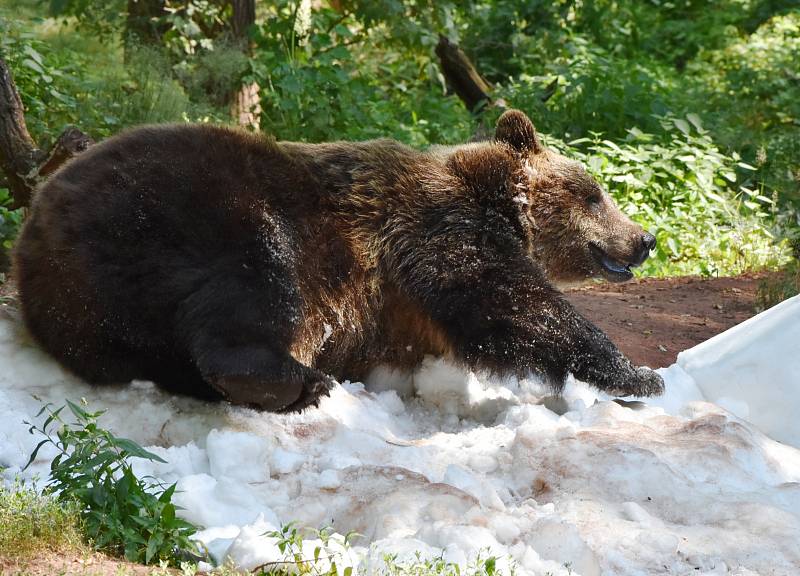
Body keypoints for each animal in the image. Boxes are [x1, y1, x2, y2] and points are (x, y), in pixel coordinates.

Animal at [12, 110, 664, 412]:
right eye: (594, 192)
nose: (645, 237)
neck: (498, 203)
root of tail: (36, 230)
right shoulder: (433, 230)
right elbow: (502, 297)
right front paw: (638, 374)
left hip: (106, 303)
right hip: (199, 212)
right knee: (259, 286)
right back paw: (298, 380)